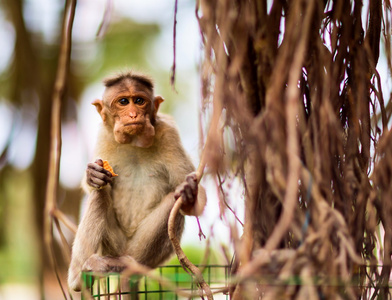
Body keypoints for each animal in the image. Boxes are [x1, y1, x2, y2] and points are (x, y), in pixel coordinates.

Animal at [67, 71, 208, 292]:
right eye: (123, 102)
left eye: (139, 101)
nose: (133, 114)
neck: (134, 142)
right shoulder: (104, 135)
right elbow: (92, 186)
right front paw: (92, 175)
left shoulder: (169, 134)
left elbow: (189, 192)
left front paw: (190, 194)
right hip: (113, 246)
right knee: (101, 192)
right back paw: (80, 277)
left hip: (142, 253)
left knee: (172, 201)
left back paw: (130, 266)